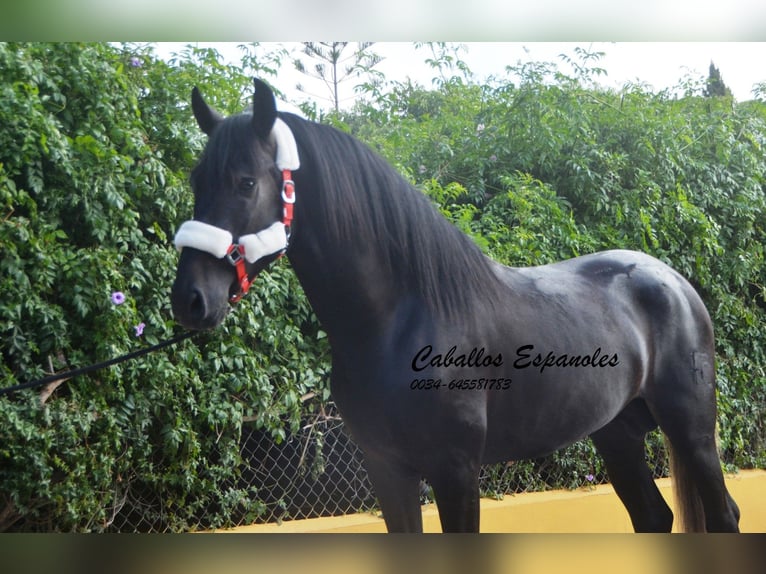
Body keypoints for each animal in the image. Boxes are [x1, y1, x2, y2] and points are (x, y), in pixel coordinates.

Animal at [171, 79, 740, 532]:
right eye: (197, 179)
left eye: (246, 181)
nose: (190, 300)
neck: (401, 320)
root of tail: (672, 280)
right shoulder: (389, 471)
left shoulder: (456, 471)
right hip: (616, 434)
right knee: (653, 516)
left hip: (691, 429)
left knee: (723, 514)